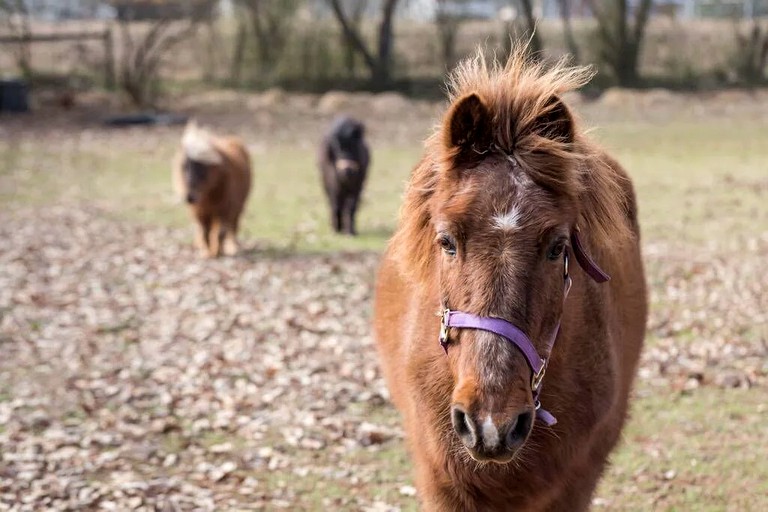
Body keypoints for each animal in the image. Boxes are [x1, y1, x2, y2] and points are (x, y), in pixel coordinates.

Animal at [172, 119, 252, 256]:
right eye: (184, 166)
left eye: (204, 169)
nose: (190, 197)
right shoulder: (199, 211)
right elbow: (205, 231)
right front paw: (206, 252)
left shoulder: (225, 209)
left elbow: (220, 233)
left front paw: (216, 252)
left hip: (238, 208)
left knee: (233, 227)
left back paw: (232, 247)